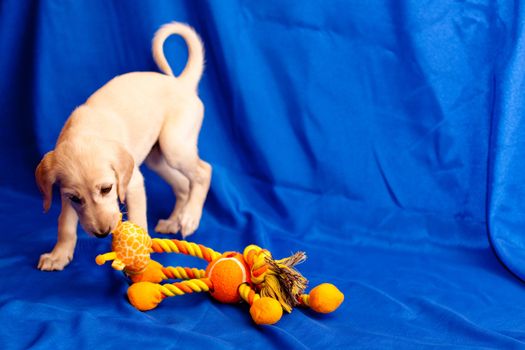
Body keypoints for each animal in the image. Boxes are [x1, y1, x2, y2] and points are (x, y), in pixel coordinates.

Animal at [33, 22, 211, 270]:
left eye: (107, 189)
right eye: (76, 199)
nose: (102, 233)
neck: (85, 132)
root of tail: (180, 83)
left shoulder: (133, 183)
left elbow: (139, 221)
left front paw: (139, 263)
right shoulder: (65, 194)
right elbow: (65, 225)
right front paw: (58, 255)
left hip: (174, 146)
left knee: (203, 172)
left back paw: (190, 217)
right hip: (156, 158)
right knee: (184, 185)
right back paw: (173, 222)